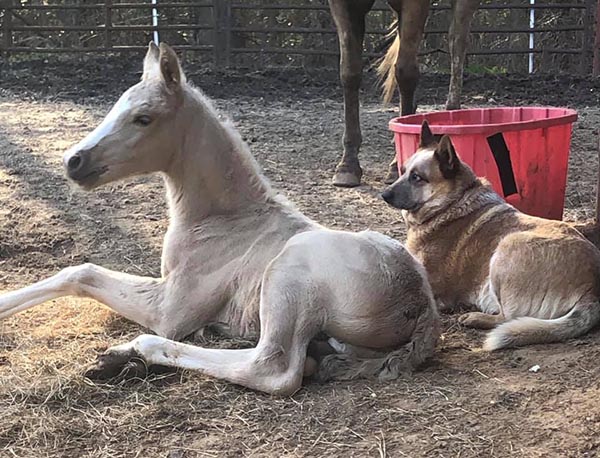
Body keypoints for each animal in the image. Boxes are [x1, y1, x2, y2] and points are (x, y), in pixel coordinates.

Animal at [0, 43, 440, 398]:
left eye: (143, 118)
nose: (73, 161)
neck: (223, 218)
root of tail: (421, 306)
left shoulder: (171, 308)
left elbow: (81, 273)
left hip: (289, 274)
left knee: (273, 369)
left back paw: (132, 352)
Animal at [328, 0, 478, 187]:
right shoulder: (344, 4)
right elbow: (350, 72)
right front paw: (347, 166)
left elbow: (405, 72)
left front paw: (395, 166)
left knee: (457, 40)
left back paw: (452, 110)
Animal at [382, 121, 600, 350]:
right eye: (403, 171)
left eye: (417, 177)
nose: (384, 194)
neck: (451, 202)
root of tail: (592, 290)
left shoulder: (431, 283)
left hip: (507, 245)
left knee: (508, 317)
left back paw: (475, 318)